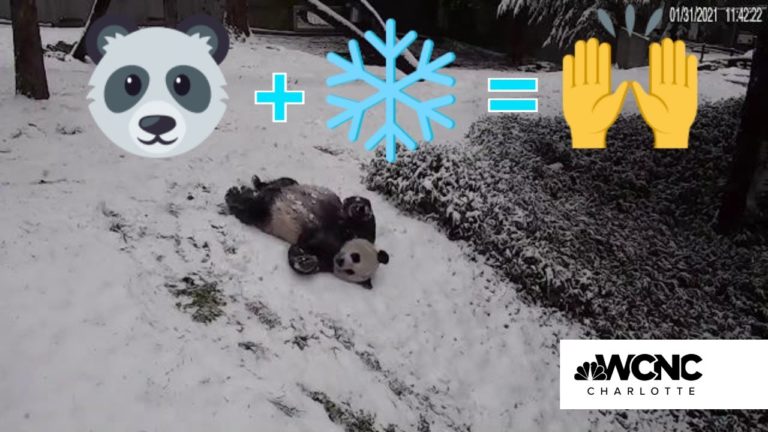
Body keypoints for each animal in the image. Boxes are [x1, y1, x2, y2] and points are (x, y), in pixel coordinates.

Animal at [225, 176, 389, 289]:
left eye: (350, 272)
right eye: (356, 257)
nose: (340, 261)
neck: (340, 245)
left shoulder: (323, 257)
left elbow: (302, 251)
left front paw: (306, 261)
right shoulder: (359, 230)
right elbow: (358, 211)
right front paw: (360, 208)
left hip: (264, 216)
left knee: (253, 211)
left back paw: (237, 196)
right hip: (290, 186)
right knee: (284, 182)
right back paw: (253, 184)